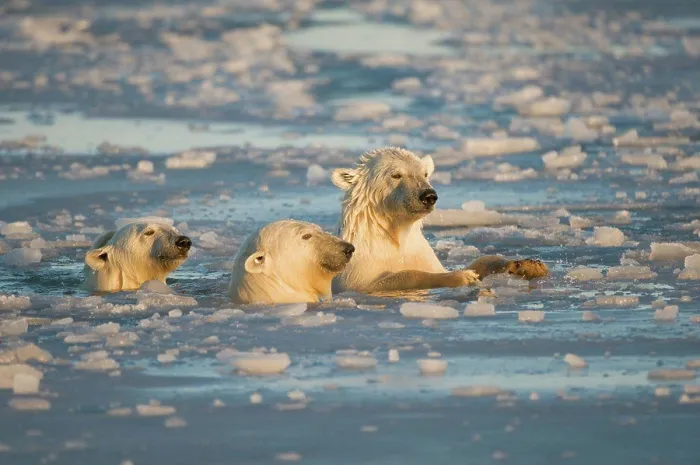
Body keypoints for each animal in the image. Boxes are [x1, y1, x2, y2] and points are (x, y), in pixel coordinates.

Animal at [331, 147, 548, 293]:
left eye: (425, 173)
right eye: (396, 175)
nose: (428, 195)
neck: (395, 234)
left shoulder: (419, 252)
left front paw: (529, 265)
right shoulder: (357, 274)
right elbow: (398, 276)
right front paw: (462, 276)